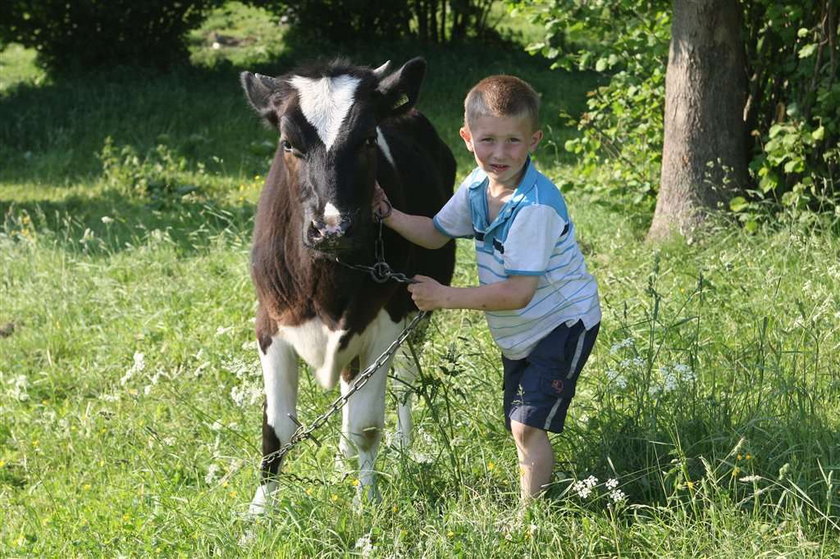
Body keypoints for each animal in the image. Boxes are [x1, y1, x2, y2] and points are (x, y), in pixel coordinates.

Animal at [240, 58, 456, 516]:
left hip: (416, 313)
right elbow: (275, 431)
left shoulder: (387, 322)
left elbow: (367, 425)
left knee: (403, 383)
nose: (332, 227)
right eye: (288, 143)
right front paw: (258, 514)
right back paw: (342, 462)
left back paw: (402, 447)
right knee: (346, 386)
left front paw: (366, 502)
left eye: (368, 138)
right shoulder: (269, 323)